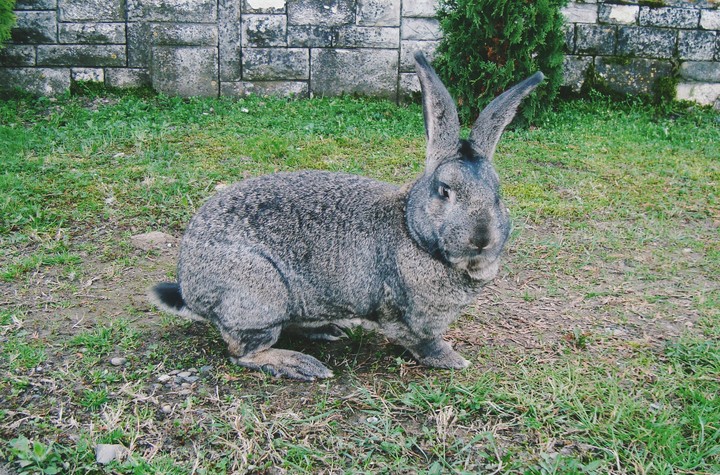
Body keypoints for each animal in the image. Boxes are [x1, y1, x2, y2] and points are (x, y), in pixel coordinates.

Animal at [150, 52, 543, 380]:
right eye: (444, 191)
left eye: (498, 194)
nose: (482, 238)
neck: (411, 229)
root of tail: (189, 285)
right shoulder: (407, 317)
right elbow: (421, 341)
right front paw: (451, 359)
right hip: (256, 294)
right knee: (242, 351)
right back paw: (301, 364)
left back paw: (329, 331)